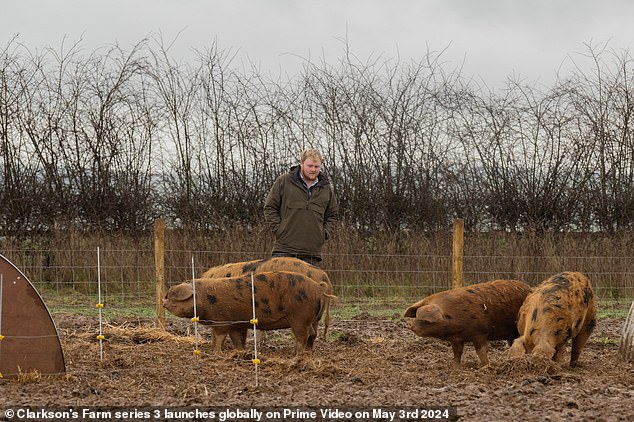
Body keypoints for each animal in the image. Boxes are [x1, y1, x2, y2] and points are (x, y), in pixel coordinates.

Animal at [162, 270, 330, 356]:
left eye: (172, 297)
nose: (163, 302)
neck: (204, 298)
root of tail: (318, 287)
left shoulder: (222, 320)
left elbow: (220, 336)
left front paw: (217, 352)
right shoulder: (236, 323)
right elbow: (236, 338)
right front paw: (241, 351)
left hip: (299, 318)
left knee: (303, 336)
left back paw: (296, 355)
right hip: (308, 319)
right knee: (312, 334)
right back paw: (306, 352)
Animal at [402, 280, 532, 370]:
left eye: (425, 320)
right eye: (416, 315)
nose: (408, 323)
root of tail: (530, 288)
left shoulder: (481, 333)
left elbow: (481, 351)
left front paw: (485, 367)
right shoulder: (456, 339)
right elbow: (457, 353)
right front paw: (456, 369)